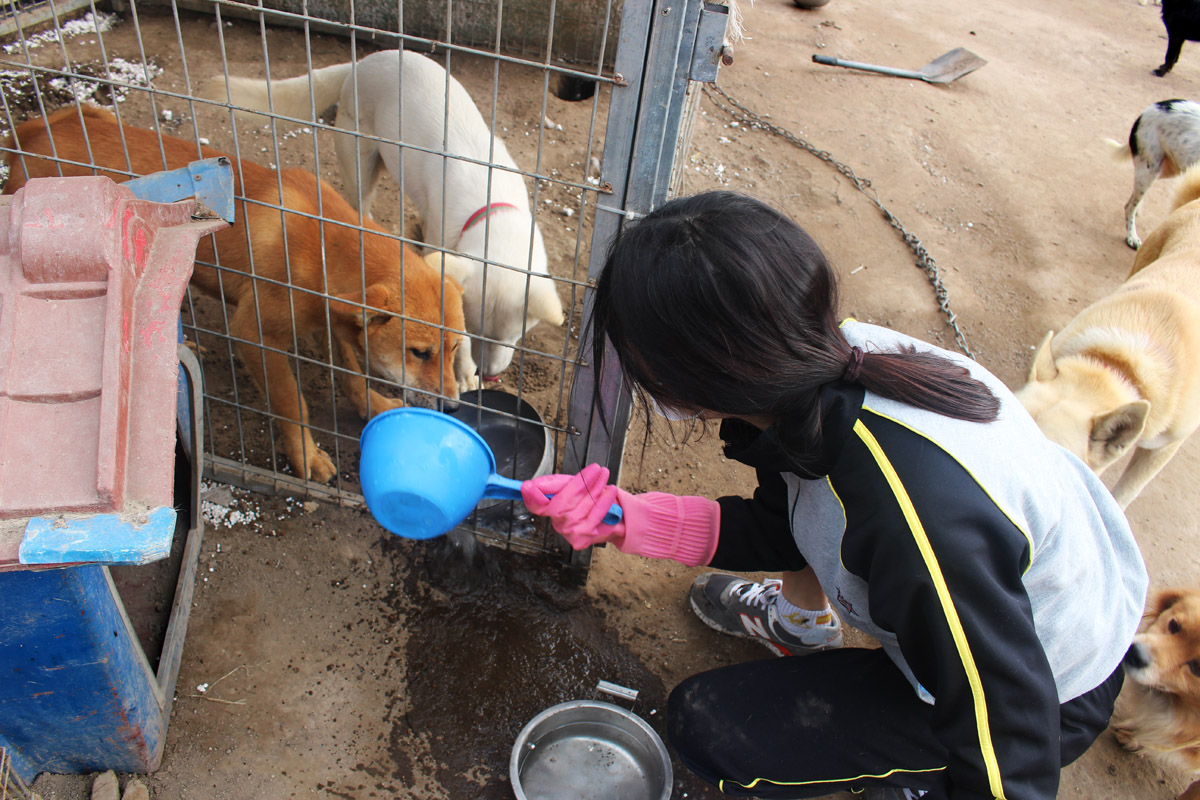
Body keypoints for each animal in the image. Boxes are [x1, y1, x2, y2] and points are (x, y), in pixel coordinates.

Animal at [2, 105, 463, 482]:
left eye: (455, 349)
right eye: (419, 352)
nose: (456, 408)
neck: (325, 246)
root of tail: (31, 131)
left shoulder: (333, 322)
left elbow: (351, 373)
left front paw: (373, 405)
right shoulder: (255, 335)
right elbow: (292, 403)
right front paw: (305, 456)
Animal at [207, 50, 566, 388]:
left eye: (514, 336)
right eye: (475, 330)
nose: (490, 375)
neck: (488, 205)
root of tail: (363, 62)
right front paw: (465, 373)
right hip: (360, 164)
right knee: (360, 205)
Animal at [1108, 100, 1200, 250]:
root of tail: (1147, 110)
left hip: (1167, 170)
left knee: (1135, 196)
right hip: (1150, 170)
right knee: (1129, 205)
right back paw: (1132, 236)